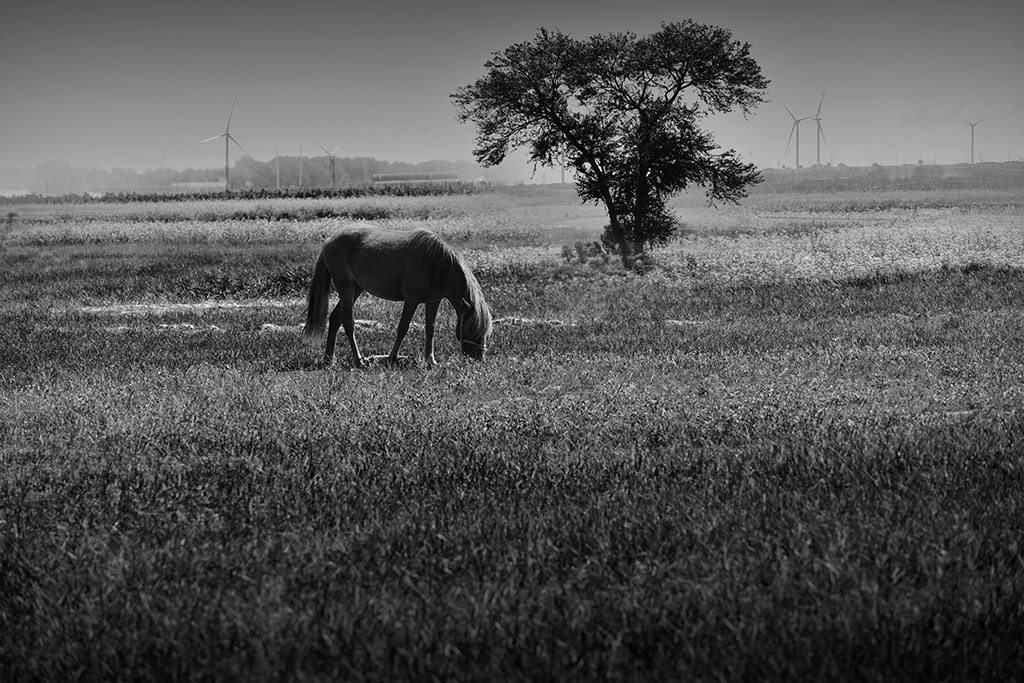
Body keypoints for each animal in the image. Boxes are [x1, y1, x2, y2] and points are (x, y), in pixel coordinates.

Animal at [303, 223, 491, 368]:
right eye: (471, 328)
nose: (478, 358)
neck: (436, 263)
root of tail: (330, 240)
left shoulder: (433, 301)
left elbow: (430, 329)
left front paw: (430, 360)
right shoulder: (411, 300)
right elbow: (402, 328)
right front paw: (392, 357)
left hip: (356, 288)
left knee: (335, 318)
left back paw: (329, 359)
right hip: (345, 287)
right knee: (348, 323)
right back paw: (358, 360)